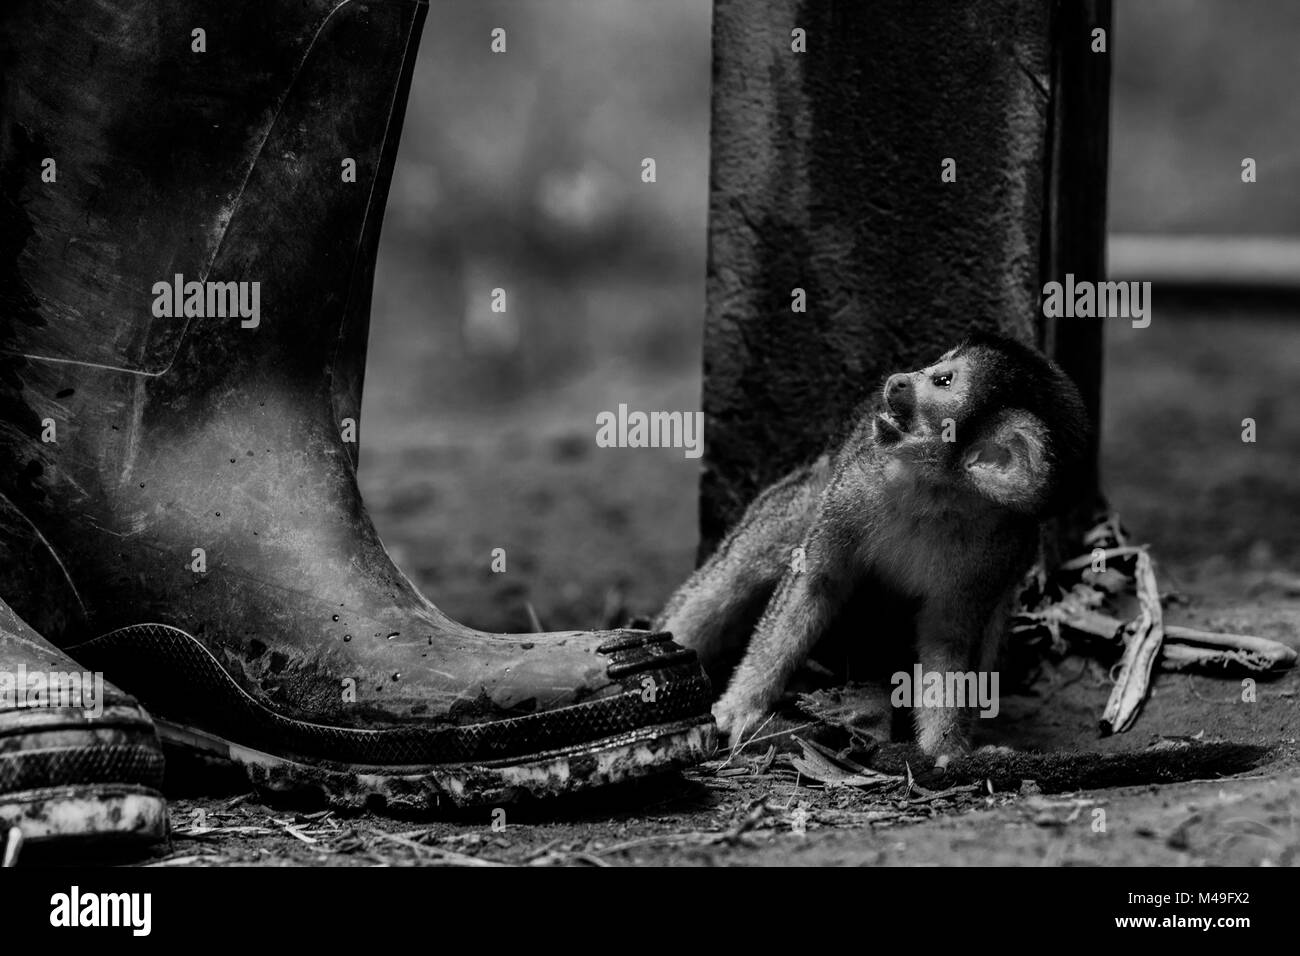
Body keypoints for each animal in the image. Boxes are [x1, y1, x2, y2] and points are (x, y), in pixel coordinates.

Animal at [656, 332, 1089, 763]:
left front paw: (946, 748)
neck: (940, 496)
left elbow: (949, 639)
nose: (897, 380)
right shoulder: (861, 477)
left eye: (943, 381)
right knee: (758, 554)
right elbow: (816, 581)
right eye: (938, 363)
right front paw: (740, 704)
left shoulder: (1002, 548)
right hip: (820, 481)